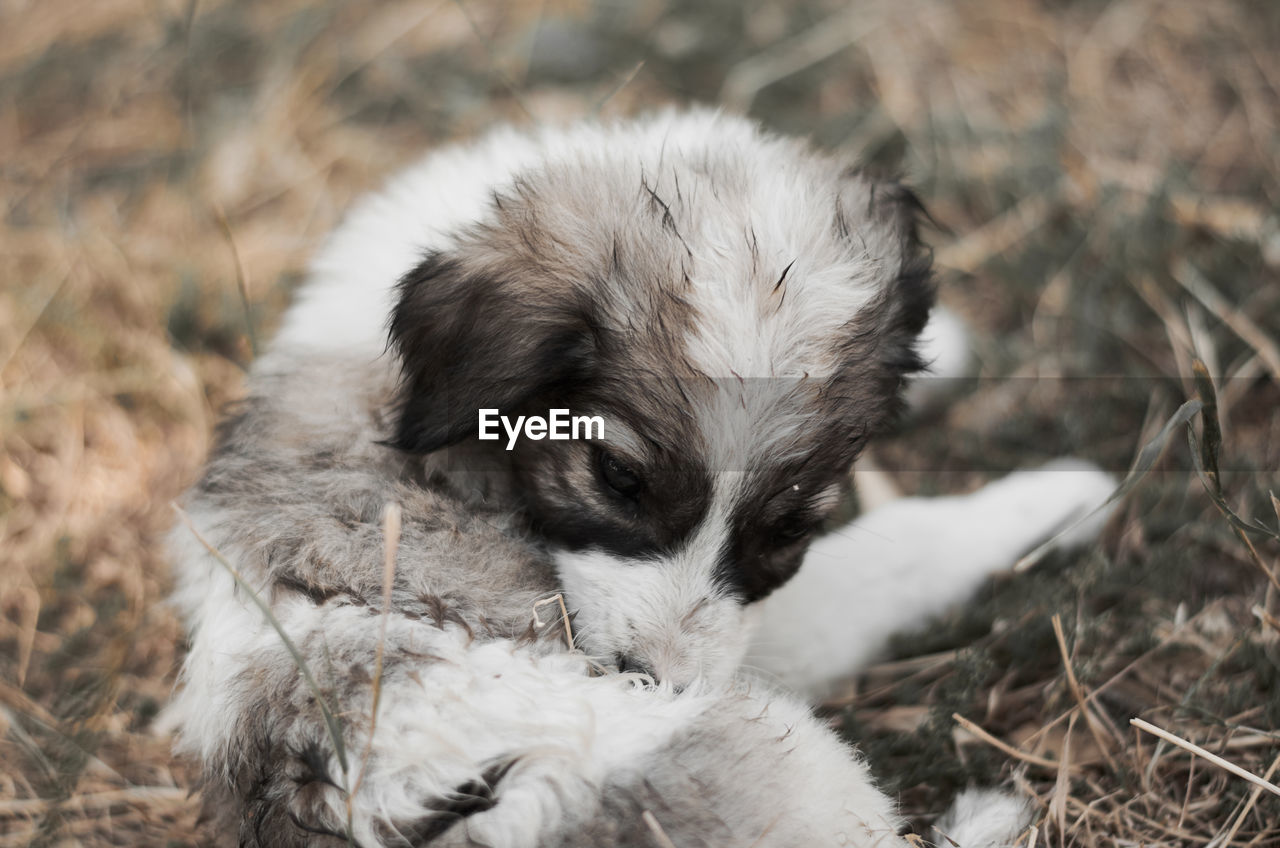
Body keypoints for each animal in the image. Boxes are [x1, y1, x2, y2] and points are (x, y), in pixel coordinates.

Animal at [167, 109, 1111, 845]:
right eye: (618, 477)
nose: (653, 681)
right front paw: (1057, 496)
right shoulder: (783, 636)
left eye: (790, 526)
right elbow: (902, 544)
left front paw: (947, 346)